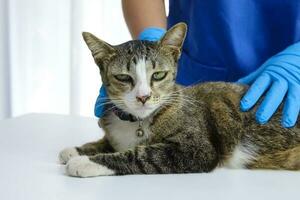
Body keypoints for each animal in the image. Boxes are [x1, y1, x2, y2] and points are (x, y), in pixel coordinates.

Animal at [57, 22, 298, 177]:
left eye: (158, 75)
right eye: (124, 77)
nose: (143, 97)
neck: (137, 123)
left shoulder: (197, 149)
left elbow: (141, 155)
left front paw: (85, 161)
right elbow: (108, 143)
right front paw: (78, 149)